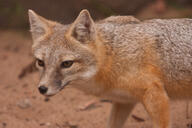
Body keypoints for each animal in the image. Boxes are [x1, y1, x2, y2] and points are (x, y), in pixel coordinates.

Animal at [27, 9, 191, 128]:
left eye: (67, 64)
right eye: (40, 62)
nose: (42, 88)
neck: (112, 57)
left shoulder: (155, 94)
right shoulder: (124, 101)